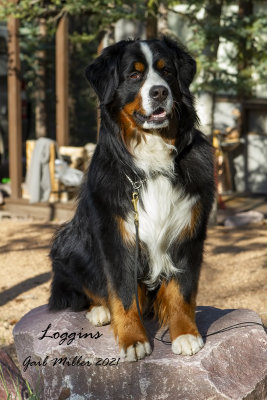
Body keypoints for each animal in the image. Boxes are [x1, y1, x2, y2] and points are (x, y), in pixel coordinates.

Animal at [48, 38, 216, 362]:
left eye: (167, 71)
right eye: (134, 75)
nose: (159, 91)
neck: (151, 162)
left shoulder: (188, 230)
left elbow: (182, 290)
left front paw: (185, 333)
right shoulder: (116, 236)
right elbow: (123, 293)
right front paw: (132, 339)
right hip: (69, 242)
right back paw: (99, 311)